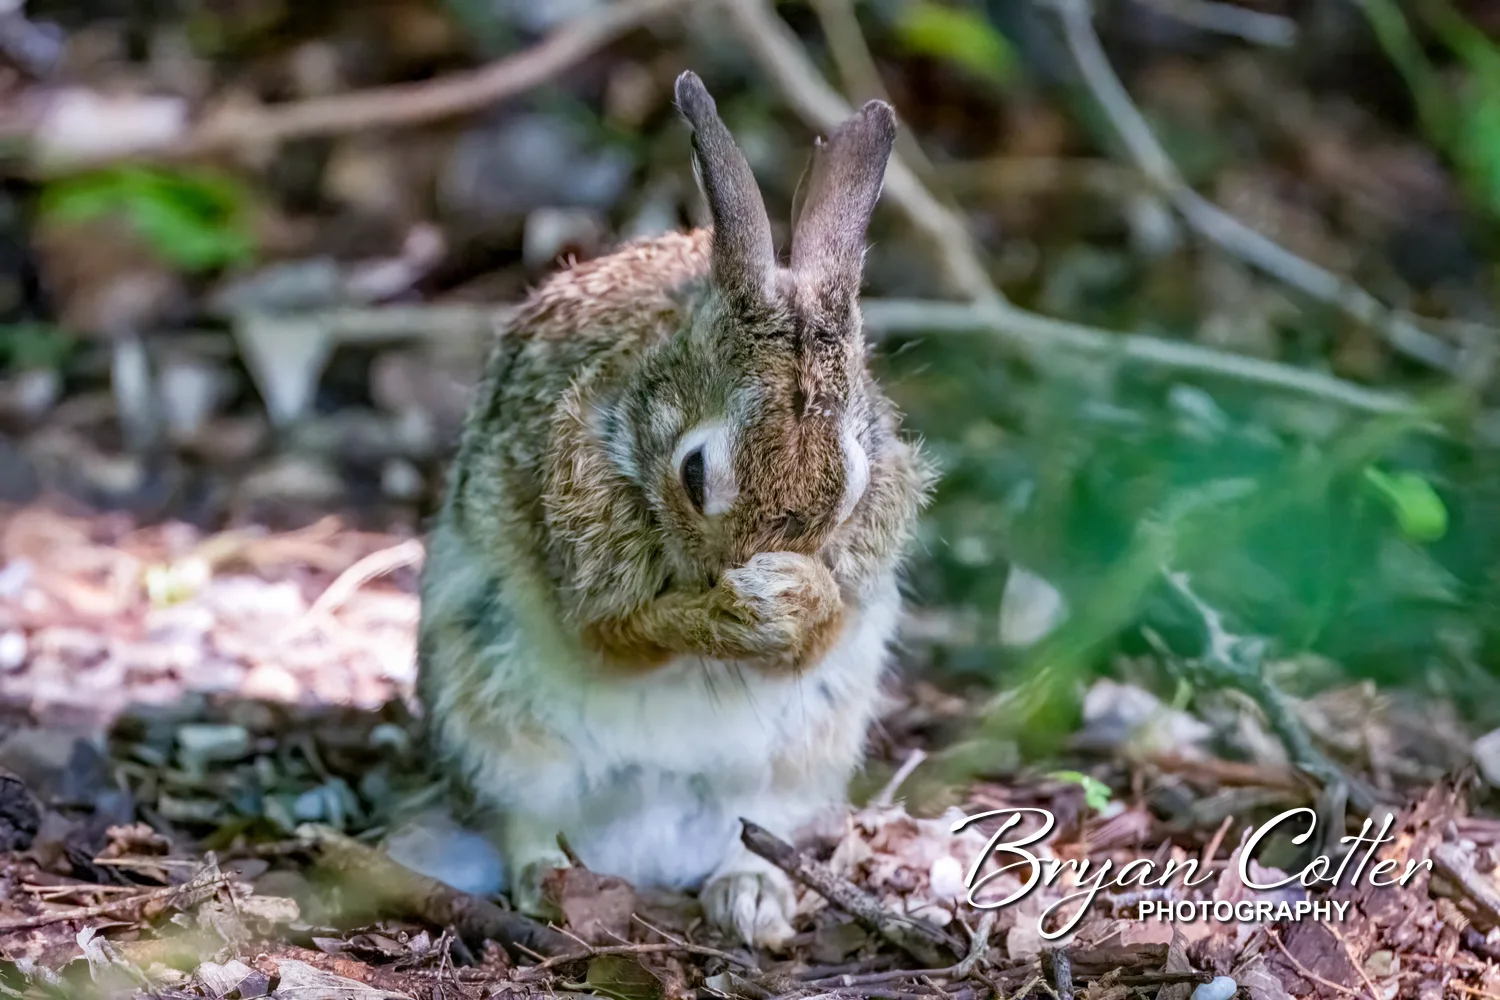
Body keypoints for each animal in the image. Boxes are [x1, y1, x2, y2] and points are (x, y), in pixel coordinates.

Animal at [406, 70, 934, 949]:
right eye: (694, 474)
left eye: (853, 484)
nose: (747, 563)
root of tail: (646, 848)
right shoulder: (584, 553)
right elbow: (619, 634)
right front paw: (738, 610)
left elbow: (821, 631)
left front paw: (790, 598)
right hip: (494, 711)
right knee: (524, 816)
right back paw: (549, 879)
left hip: (800, 757)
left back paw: (751, 896)